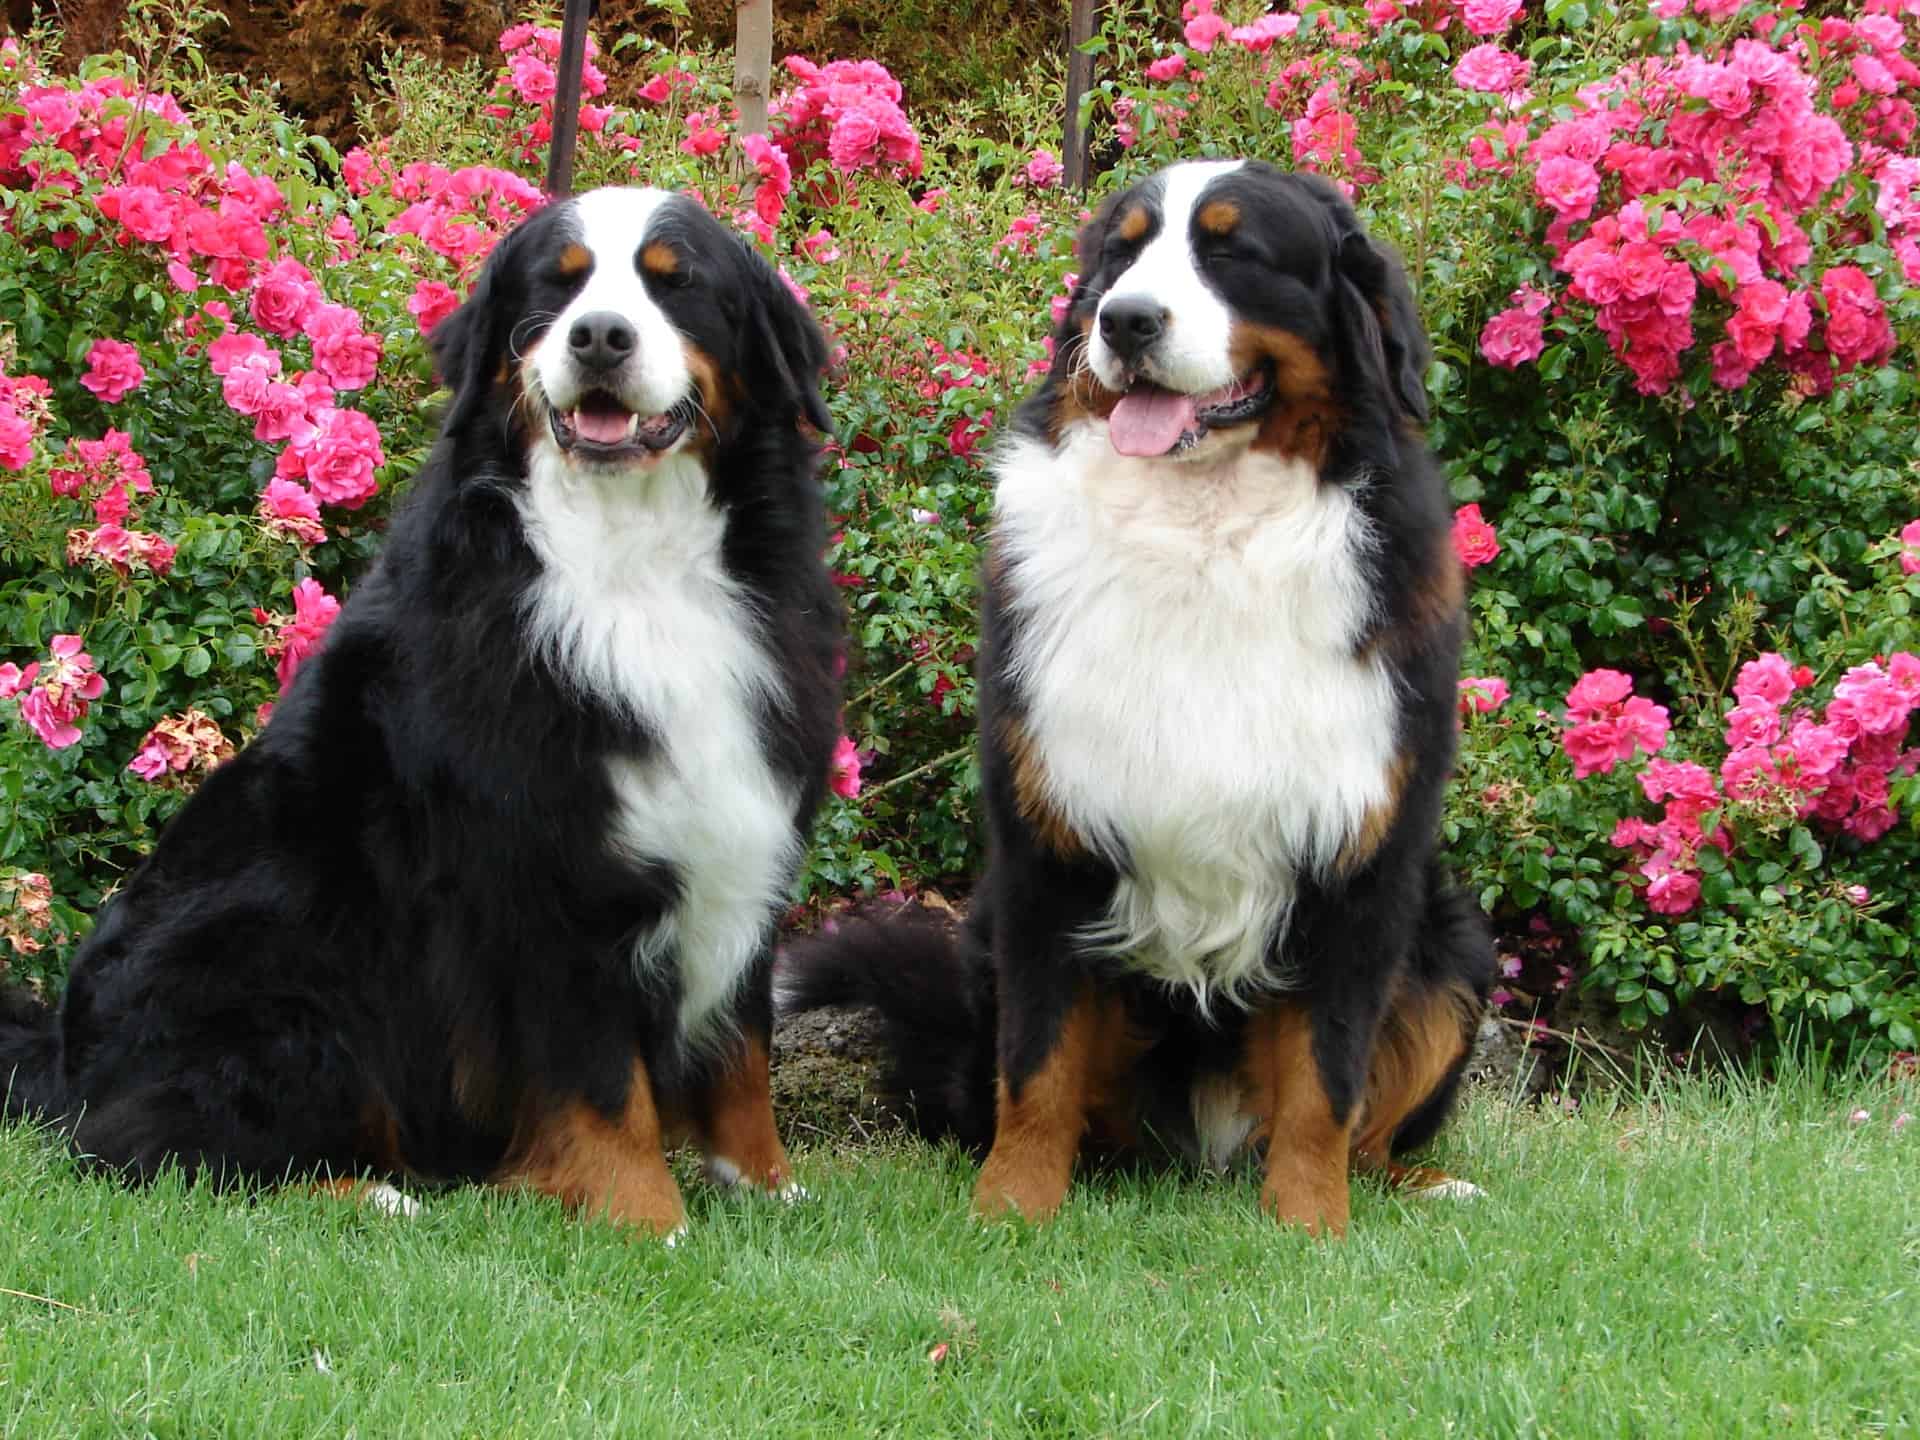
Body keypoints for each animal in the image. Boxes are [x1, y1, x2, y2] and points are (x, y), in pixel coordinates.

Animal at [1, 183, 840, 1244]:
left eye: (675, 283)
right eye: (557, 288)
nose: (599, 336)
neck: (636, 561)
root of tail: (63, 1065)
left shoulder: (740, 830)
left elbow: (742, 1049)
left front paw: (767, 1186)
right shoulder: (544, 869)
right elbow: (601, 1078)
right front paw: (646, 1219)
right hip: (279, 968)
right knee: (144, 1150)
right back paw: (371, 1192)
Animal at [779, 157, 1497, 1244]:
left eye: (1234, 252)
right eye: (1121, 254)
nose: (1124, 322)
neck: (1202, 532)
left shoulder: (1361, 861)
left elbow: (1327, 1079)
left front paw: (1311, 1226)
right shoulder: (1049, 845)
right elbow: (1037, 1065)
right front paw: (1011, 1210)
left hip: (1450, 949)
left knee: (1373, 1126)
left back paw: (1424, 1186)